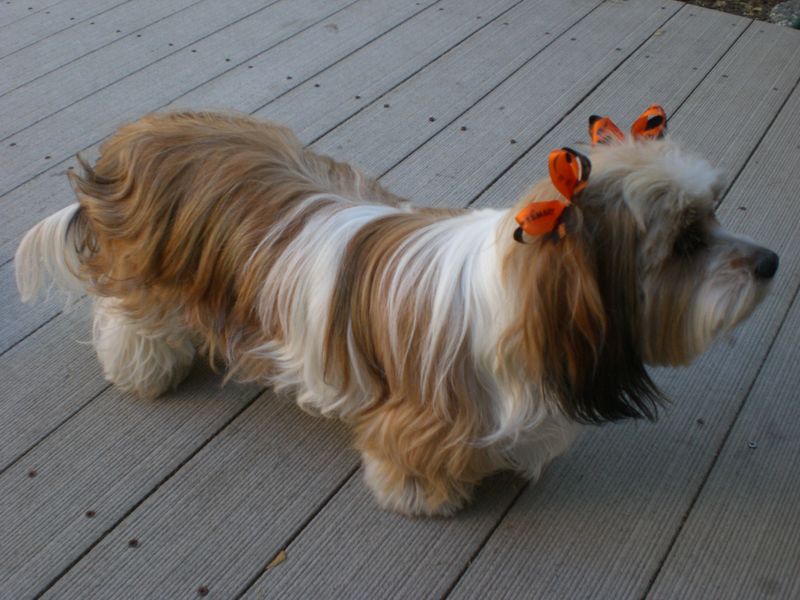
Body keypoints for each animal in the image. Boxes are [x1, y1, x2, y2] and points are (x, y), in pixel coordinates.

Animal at [17, 108, 780, 516]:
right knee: (129, 324)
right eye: (686, 242)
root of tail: (134, 138)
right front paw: (426, 497)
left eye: (715, 212)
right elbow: (412, 460)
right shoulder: (419, 416)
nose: (772, 261)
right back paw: (145, 371)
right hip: (146, 285)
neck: (517, 296)